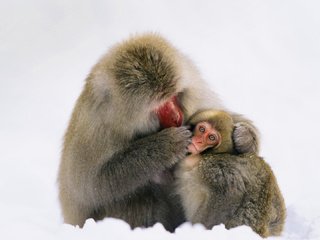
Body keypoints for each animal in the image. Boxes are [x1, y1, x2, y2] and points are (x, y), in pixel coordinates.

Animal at [57, 32, 262, 232]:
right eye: (159, 105)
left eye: (174, 95)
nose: (177, 116)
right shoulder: (96, 127)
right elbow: (90, 187)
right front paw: (164, 147)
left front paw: (245, 137)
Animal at [174, 109, 286, 237]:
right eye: (202, 129)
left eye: (211, 137)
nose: (198, 141)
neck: (201, 157)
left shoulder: (213, 168)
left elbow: (229, 194)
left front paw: (198, 229)